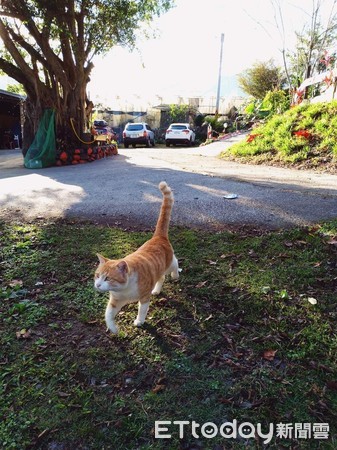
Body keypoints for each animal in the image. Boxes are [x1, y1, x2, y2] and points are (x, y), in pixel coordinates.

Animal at [94, 182, 178, 334]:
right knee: (161, 277)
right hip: (159, 270)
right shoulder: (115, 301)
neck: (124, 290)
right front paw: (113, 328)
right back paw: (157, 290)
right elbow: (108, 314)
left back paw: (175, 275)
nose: (97, 285)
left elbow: (142, 310)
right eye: (97, 276)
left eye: (108, 278)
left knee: (176, 263)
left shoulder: (144, 297)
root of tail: (158, 236)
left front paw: (139, 321)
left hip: (169, 264)